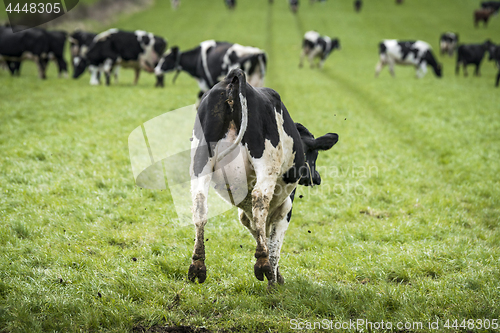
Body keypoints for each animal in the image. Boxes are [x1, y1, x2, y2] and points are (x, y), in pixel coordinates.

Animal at [188, 67, 340, 286]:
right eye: (315, 154)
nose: (317, 178)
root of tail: (233, 78)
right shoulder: (285, 208)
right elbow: (274, 244)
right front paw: (274, 278)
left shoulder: (246, 215)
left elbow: (261, 232)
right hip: (266, 163)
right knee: (259, 196)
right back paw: (262, 265)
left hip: (200, 162)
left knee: (200, 202)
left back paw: (197, 265)